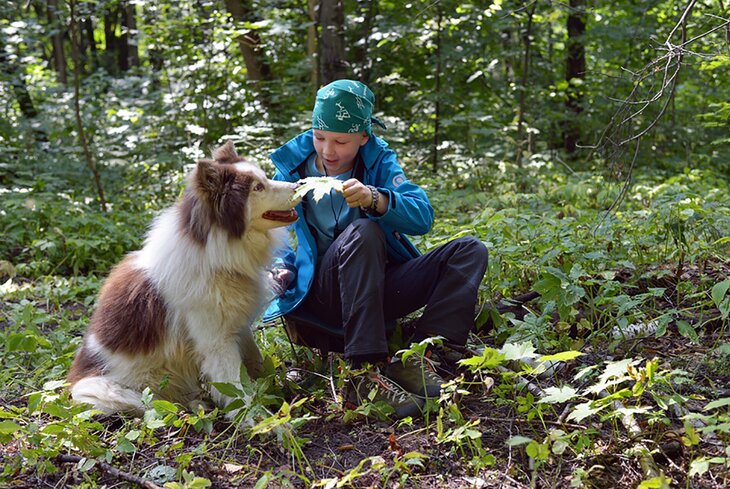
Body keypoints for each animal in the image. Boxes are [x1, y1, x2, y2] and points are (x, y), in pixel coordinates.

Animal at [66, 141, 298, 416]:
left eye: (264, 178)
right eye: (258, 188)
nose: (299, 185)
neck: (215, 253)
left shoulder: (237, 325)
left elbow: (256, 362)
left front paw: (276, 388)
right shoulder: (216, 340)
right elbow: (237, 387)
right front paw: (260, 419)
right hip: (103, 391)